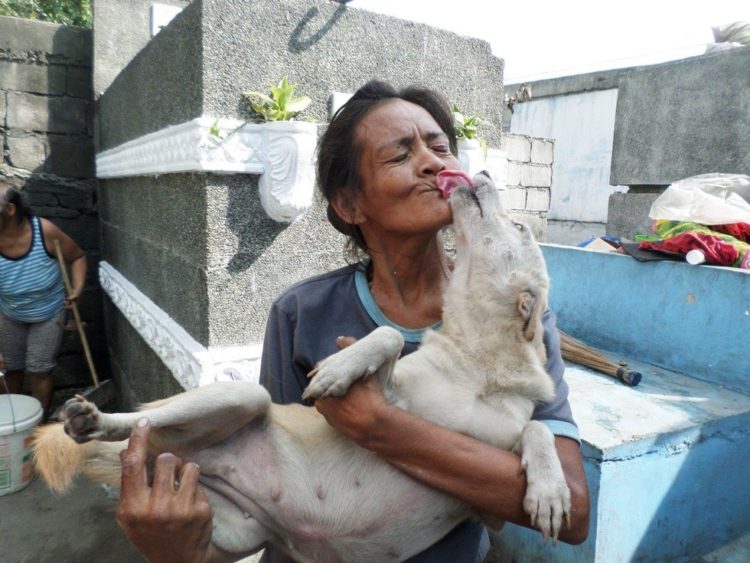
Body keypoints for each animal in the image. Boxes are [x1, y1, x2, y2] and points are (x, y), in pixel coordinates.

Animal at [30, 172, 568, 563]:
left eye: (518, 228)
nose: (481, 173)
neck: (479, 363)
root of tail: (171, 455)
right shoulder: (395, 397)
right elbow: (390, 336)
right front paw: (341, 366)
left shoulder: (491, 493)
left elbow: (538, 431)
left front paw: (550, 489)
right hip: (241, 397)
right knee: (138, 419)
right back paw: (92, 419)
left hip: (232, 527)